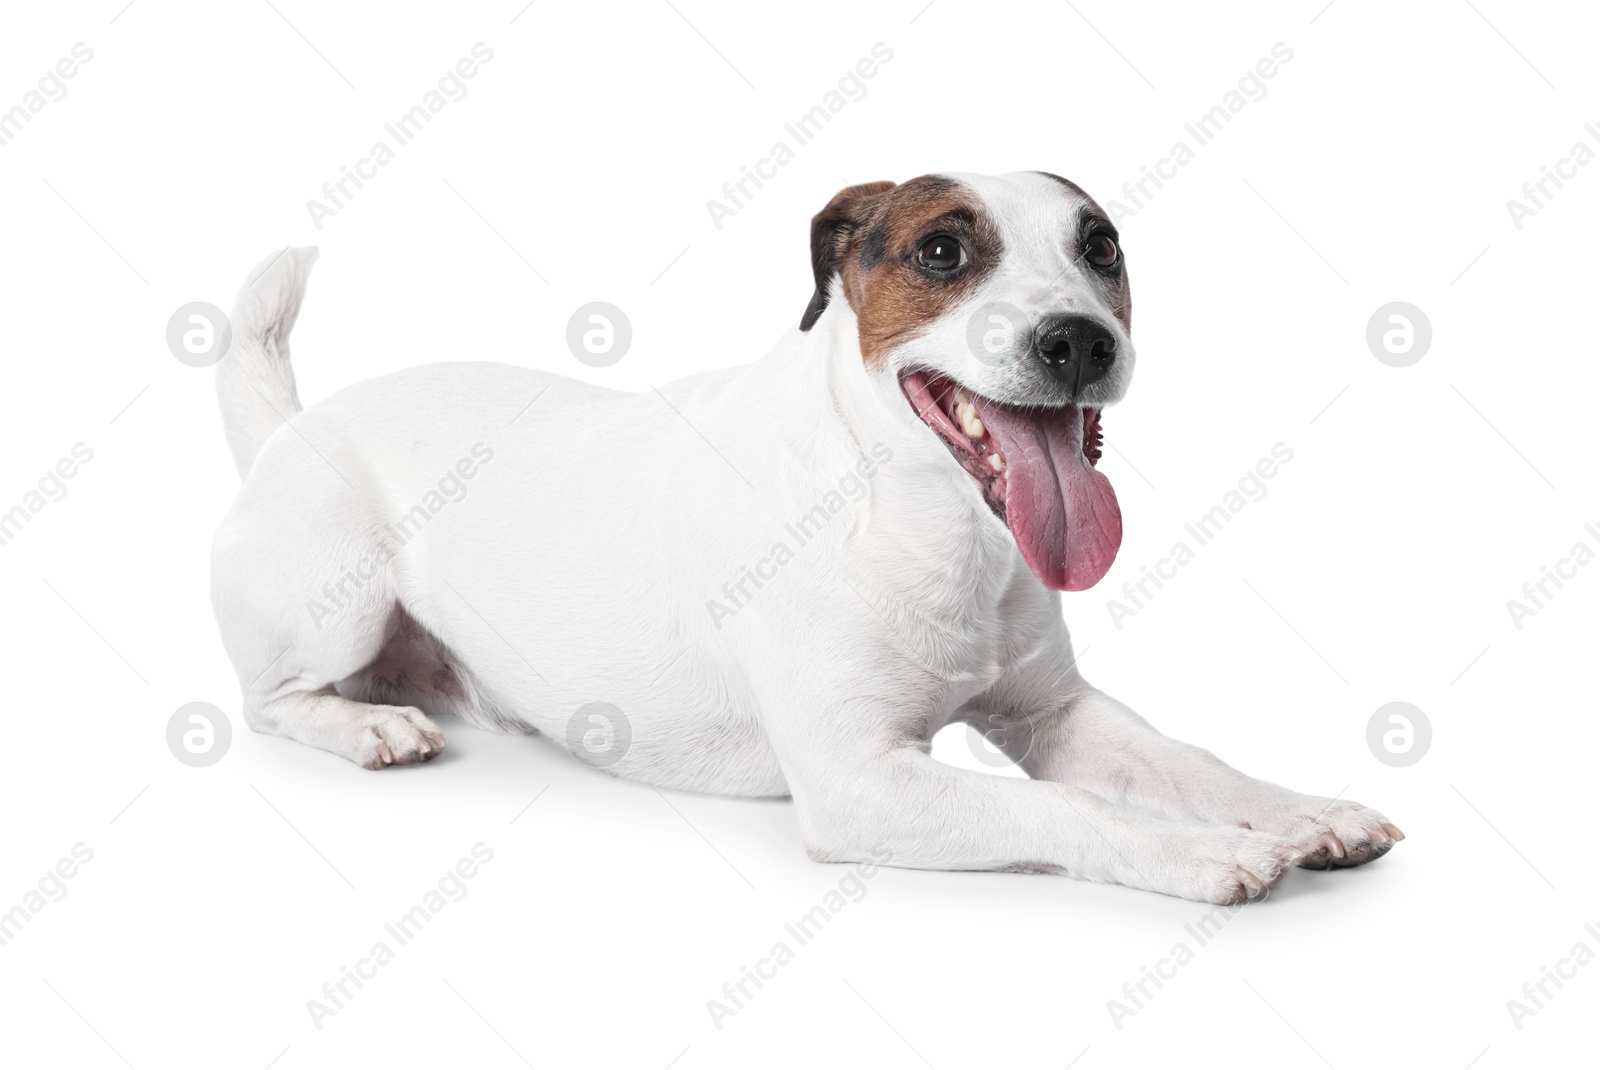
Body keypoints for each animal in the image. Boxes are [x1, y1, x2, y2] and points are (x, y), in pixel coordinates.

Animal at [212, 168, 1401, 902]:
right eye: (941, 249)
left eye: (1100, 247)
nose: (1080, 340)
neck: (923, 516)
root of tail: (292, 425)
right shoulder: (858, 780)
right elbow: (1066, 804)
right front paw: (1207, 853)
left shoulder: (1052, 710)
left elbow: (1189, 759)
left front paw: (1300, 812)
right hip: (336, 598)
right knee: (270, 701)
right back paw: (371, 728)